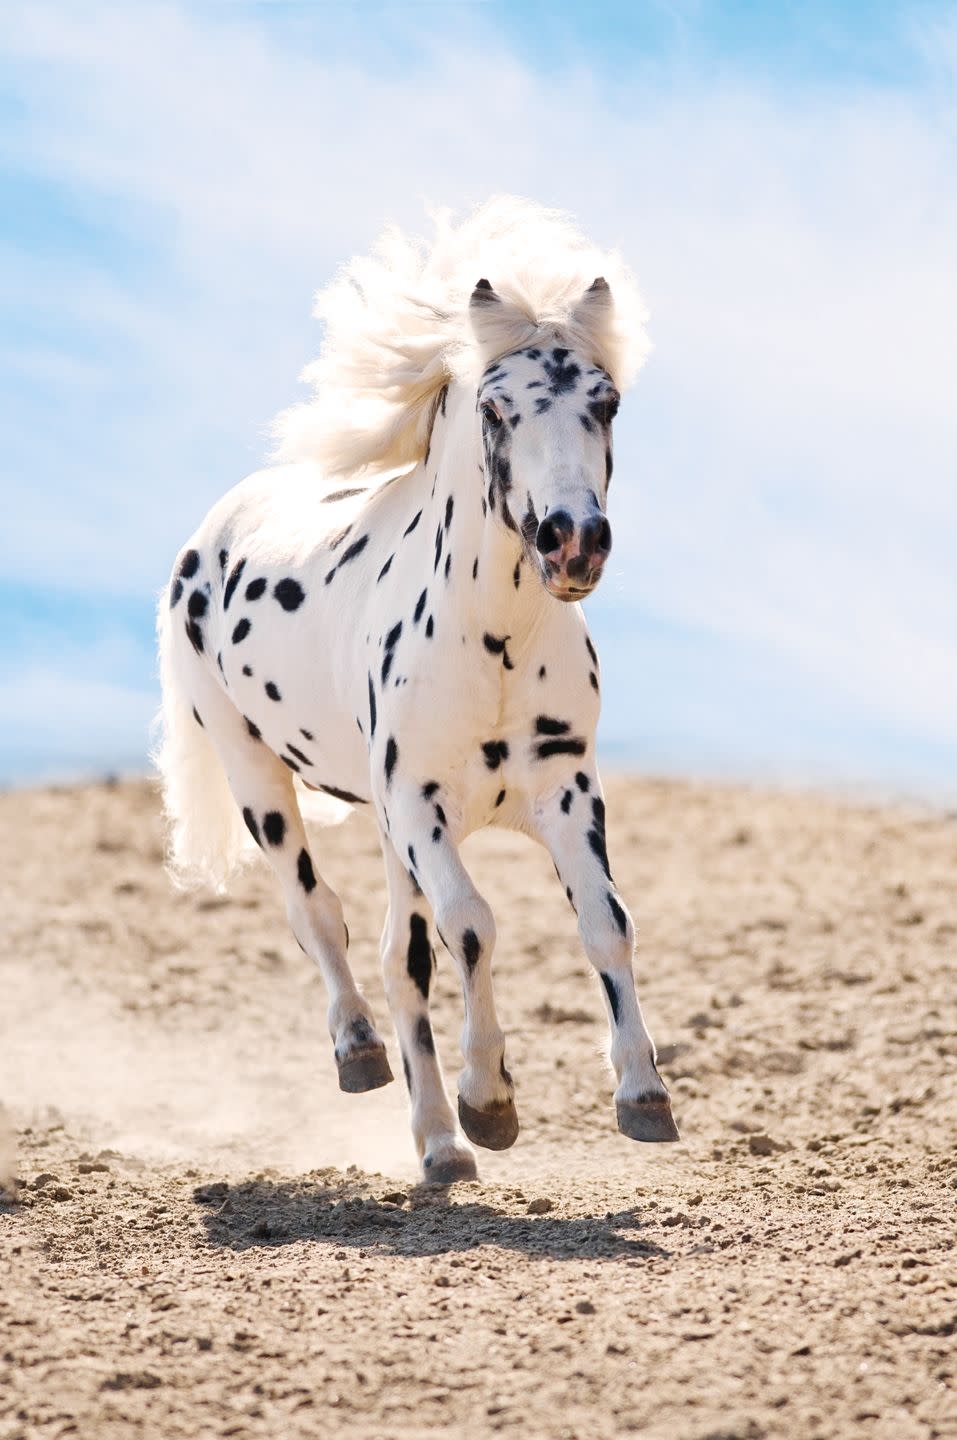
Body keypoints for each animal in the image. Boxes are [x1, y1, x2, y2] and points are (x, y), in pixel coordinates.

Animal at [156, 194, 676, 1180]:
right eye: (498, 407)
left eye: (607, 402)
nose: (572, 540)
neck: (491, 643)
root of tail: (214, 529)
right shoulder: (416, 804)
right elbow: (472, 925)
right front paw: (491, 1102)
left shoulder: (565, 790)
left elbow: (607, 921)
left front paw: (641, 1095)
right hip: (259, 778)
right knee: (319, 914)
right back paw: (361, 1055)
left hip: (393, 837)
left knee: (403, 960)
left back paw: (437, 1145)